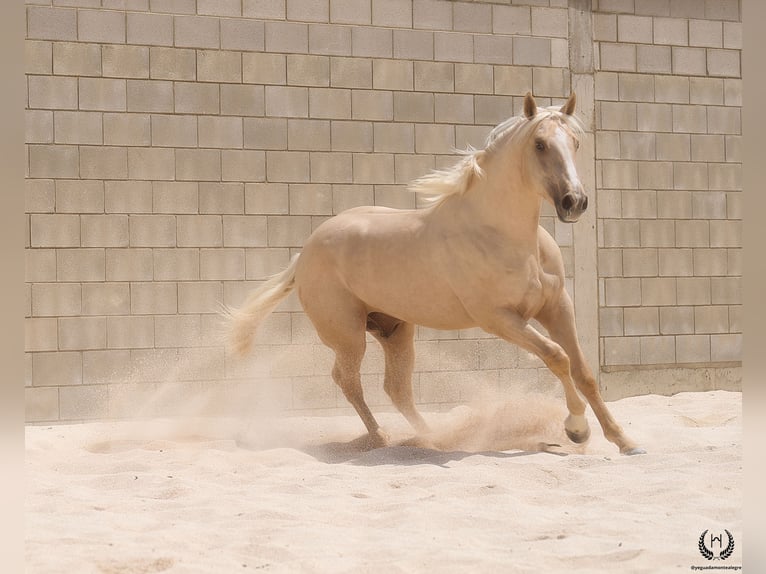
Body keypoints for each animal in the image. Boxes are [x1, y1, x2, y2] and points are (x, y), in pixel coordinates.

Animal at [227, 92, 645, 455]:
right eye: (540, 144)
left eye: (575, 142)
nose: (575, 202)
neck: (504, 235)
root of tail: (305, 253)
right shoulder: (500, 319)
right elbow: (557, 357)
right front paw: (577, 429)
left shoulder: (557, 307)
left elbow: (583, 370)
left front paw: (625, 441)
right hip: (348, 336)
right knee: (347, 381)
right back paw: (383, 437)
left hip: (395, 330)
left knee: (396, 389)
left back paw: (433, 438)